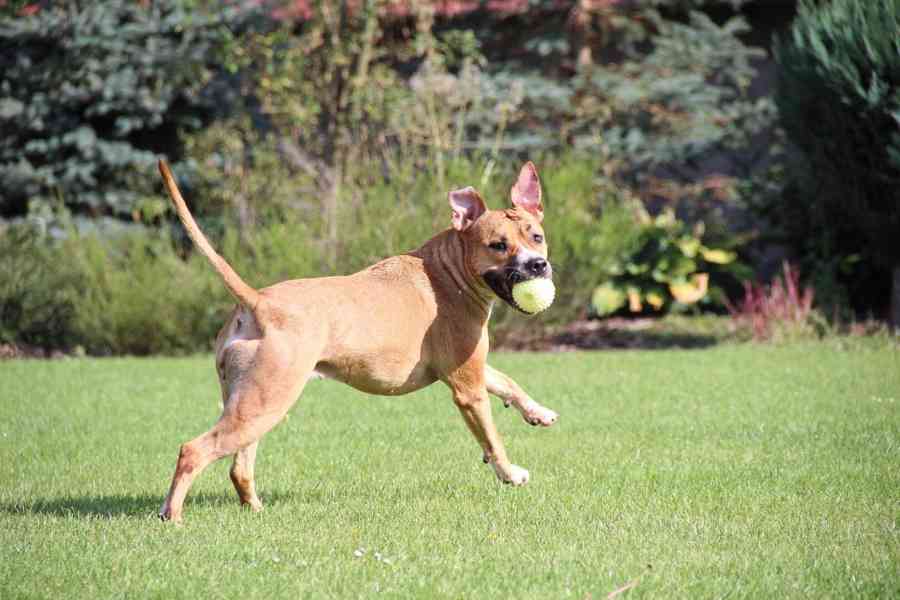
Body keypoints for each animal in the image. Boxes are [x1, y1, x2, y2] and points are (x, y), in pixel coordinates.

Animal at [158, 158, 560, 520]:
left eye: (536, 237)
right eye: (498, 245)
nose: (537, 265)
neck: (451, 271)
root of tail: (258, 302)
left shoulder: (470, 368)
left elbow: (508, 382)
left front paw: (538, 412)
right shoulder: (467, 388)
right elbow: (492, 438)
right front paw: (510, 473)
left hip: (250, 404)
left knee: (239, 467)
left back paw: (254, 509)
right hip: (265, 400)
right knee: (193, 450)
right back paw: (172, 517)